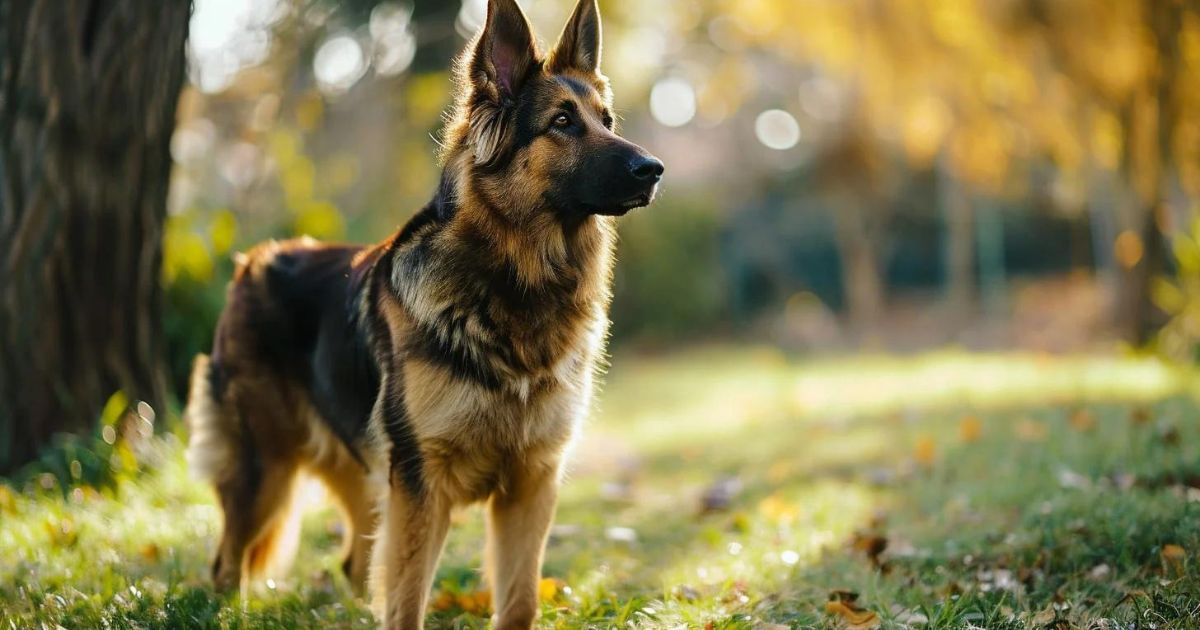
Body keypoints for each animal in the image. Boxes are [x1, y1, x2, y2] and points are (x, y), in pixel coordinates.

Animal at [182, 0, 662, 624]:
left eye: (607, 120)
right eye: (562, 122)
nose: (654, 170)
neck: (514, 282)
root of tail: (252, 261)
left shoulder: (532, 482)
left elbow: (518, 602)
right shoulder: (420, 483)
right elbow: (407, 602)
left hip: (359, 476)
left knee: (352, 564)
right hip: (264, 468)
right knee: (226, 564)